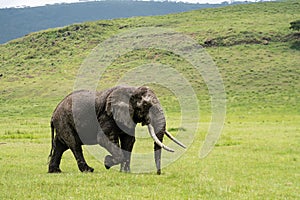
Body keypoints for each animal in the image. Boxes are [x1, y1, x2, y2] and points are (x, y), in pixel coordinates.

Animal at [47, 85, 185, 174]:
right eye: (146, 105)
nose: (158, 173)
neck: (131, 90)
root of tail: (53, 113)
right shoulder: (107, 115)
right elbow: (103, 139)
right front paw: (107, 163)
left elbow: (129, 141)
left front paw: (125, 172)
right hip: (64, 121)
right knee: (74, 145)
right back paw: (88, 170)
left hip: (62, 123)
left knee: (60, 145)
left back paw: (55, 171)